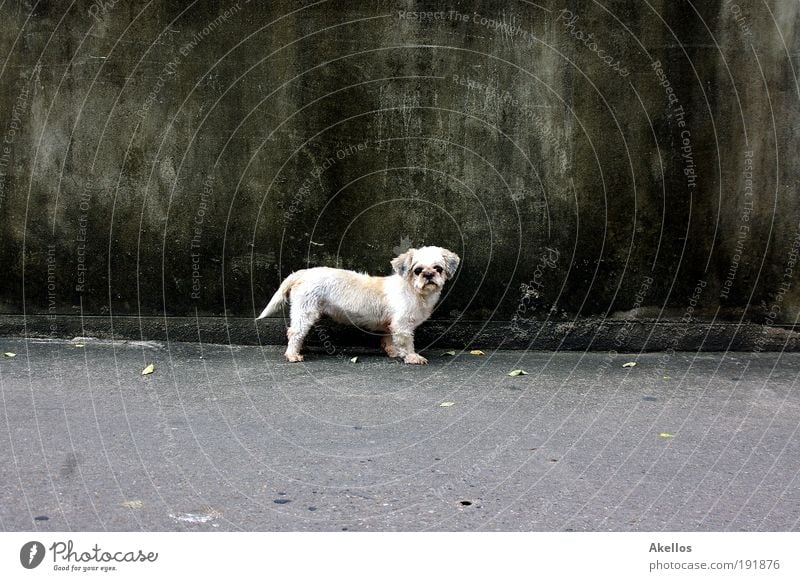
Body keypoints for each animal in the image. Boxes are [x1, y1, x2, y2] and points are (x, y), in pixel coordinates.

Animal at [255, 247, 456, 364]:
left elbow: (389, 339)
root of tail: (301, 274)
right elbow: (406, 343)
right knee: (295, 332)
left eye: (438, 268)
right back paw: (293, 354)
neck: (414, 291)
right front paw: (411, 356)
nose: (429, 275)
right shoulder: (402, 325)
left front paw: (392, 351)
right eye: (418, 270)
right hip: (306, 311)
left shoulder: (390, 324)